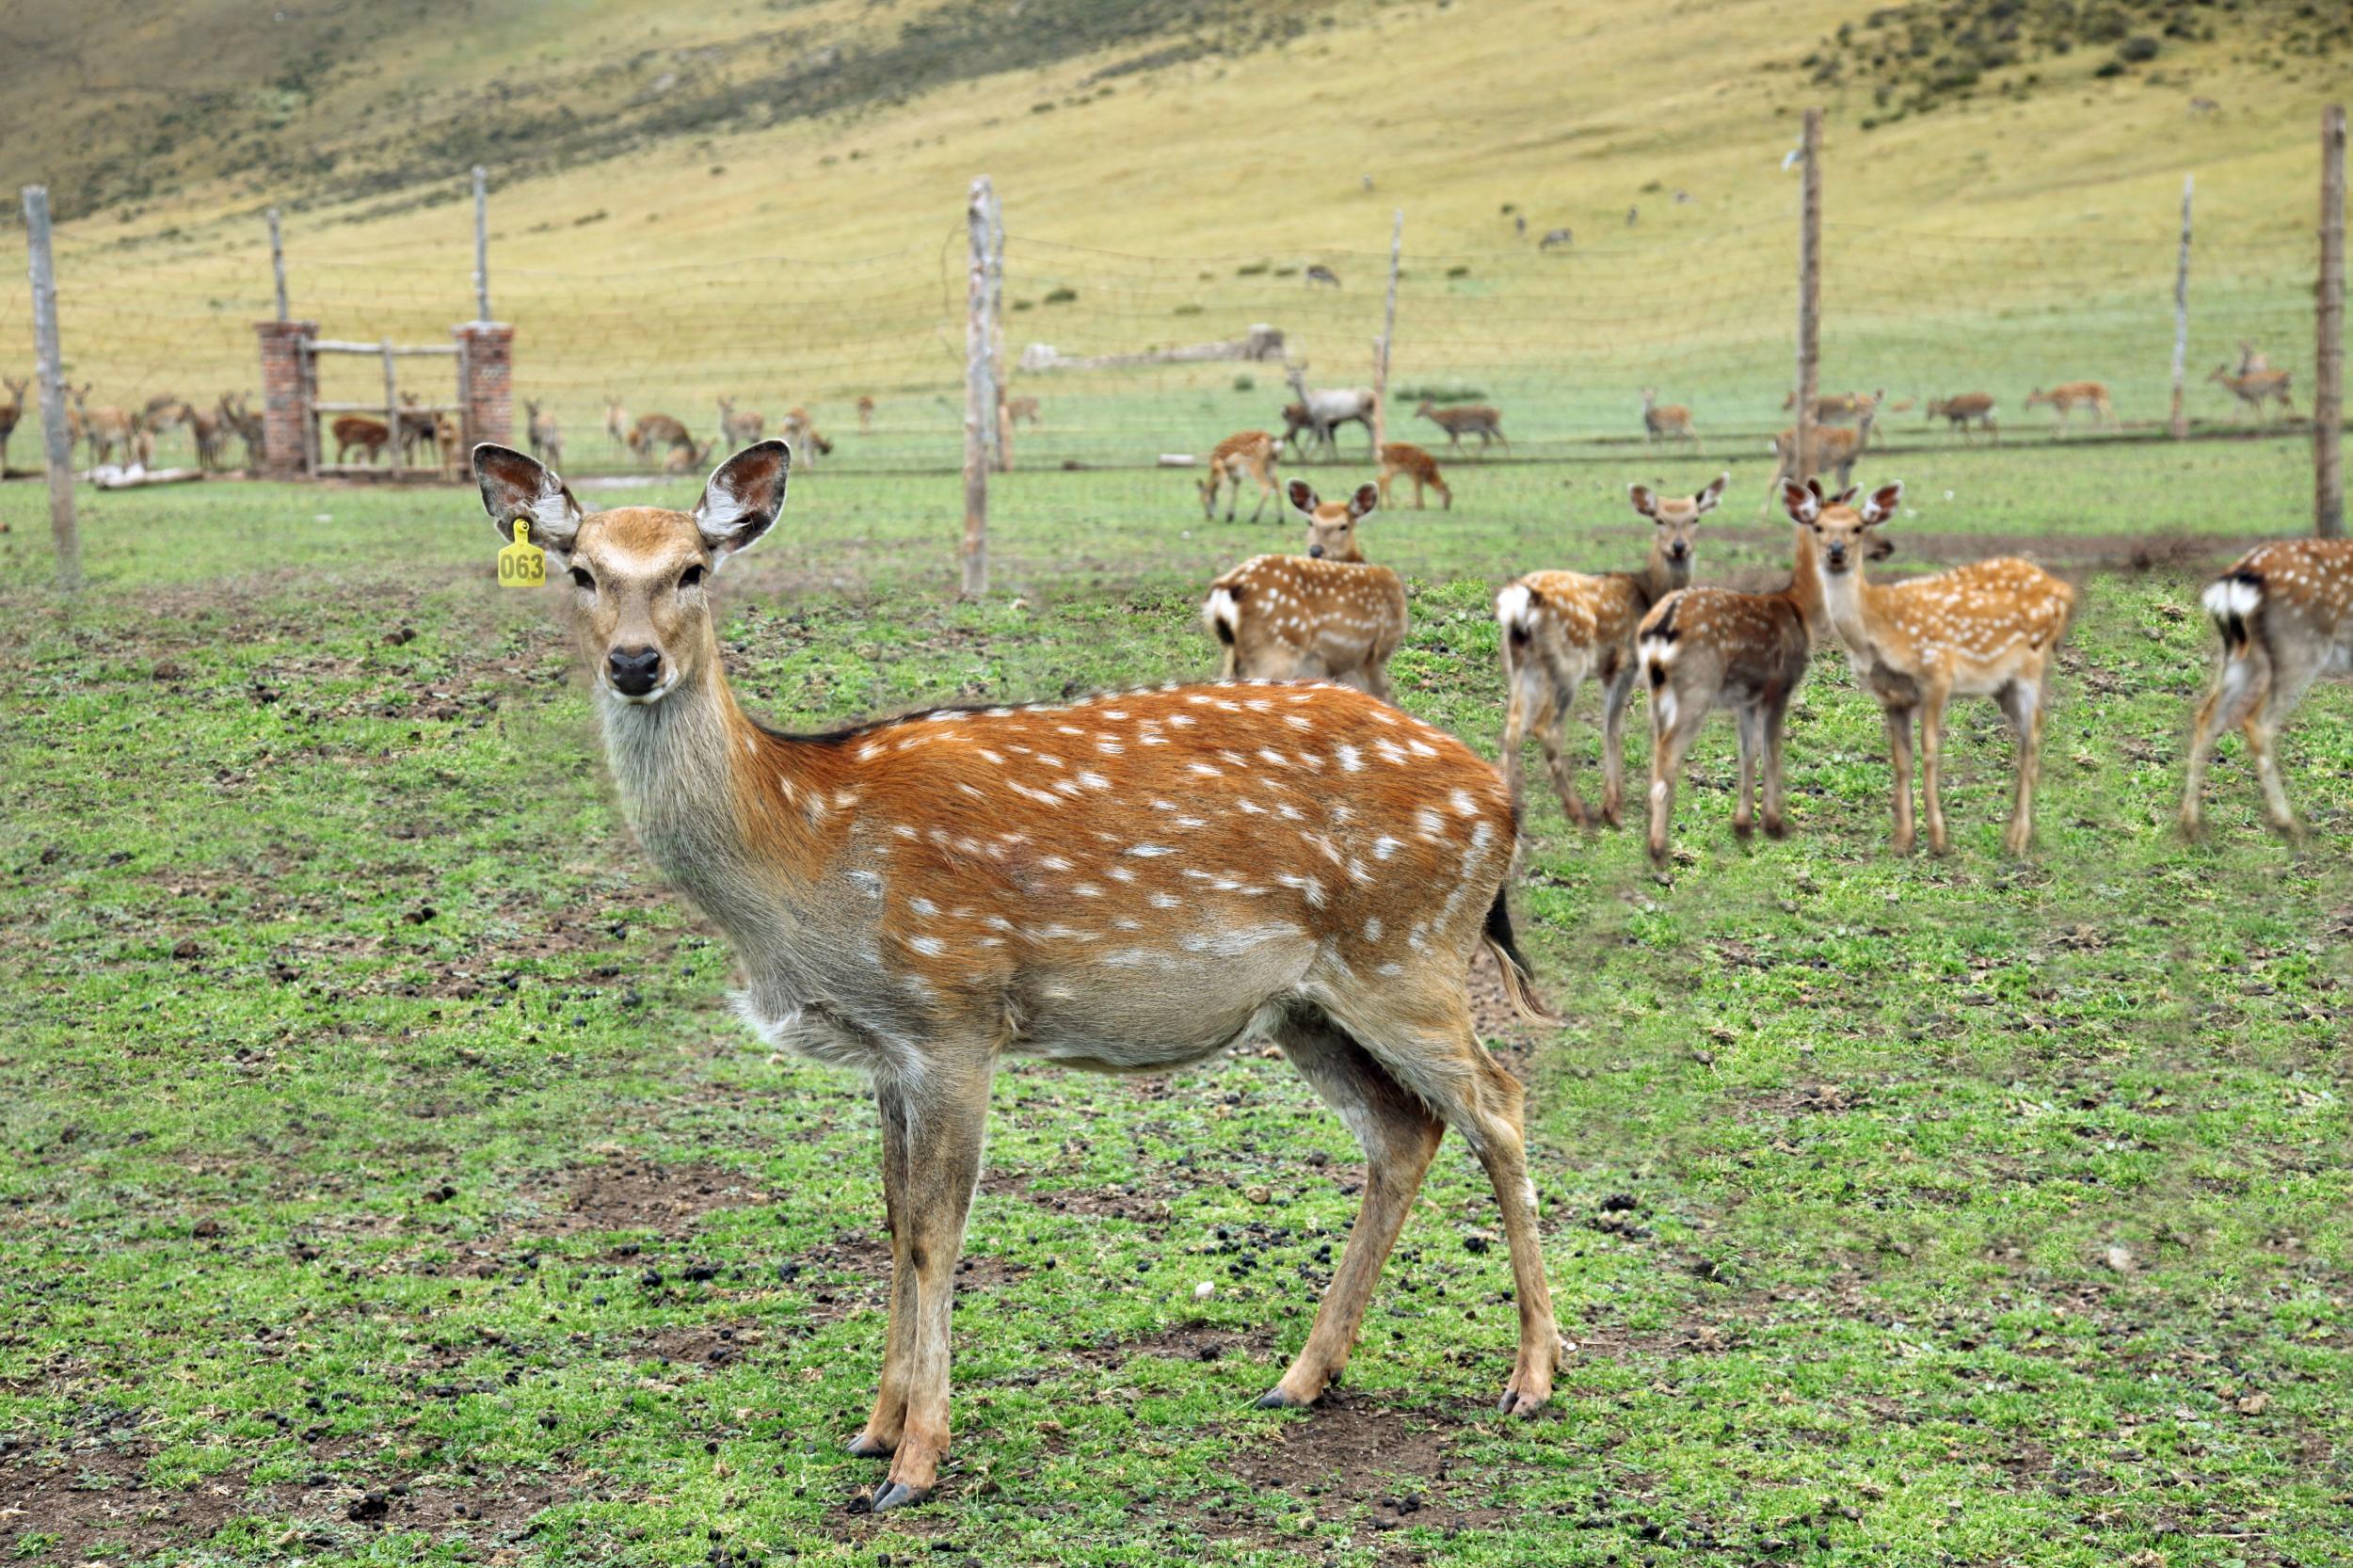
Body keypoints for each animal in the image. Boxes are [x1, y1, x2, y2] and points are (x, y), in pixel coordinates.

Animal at [1205, 475, 1402, 696]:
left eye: (1343, 526)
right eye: (1311, 522)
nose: (1315, 550)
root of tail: (1226, 590)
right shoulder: (1367, 655)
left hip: (1235, 652)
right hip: (1274, 651)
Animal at [1497, 466, 1741, 824]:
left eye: (1695, 518)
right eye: (1659, 519)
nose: (1679, 546)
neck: (1650, 592)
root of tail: (1520, 601)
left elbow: (1609, 727)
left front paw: (1612, 803)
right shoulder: (1625, 664)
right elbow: (1614, 728)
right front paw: (1613, 808)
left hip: (1520, 660)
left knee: (1513, 724)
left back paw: (1510, 800)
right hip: (1568, 662)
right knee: (1545, 726)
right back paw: (1577, 811)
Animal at [1779, 475, 2080, 856]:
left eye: (1858, 527)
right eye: (1818, 526)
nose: (1836, 550)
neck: (1875, 628)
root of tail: (2066, 590)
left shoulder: (1937, 673)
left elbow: (1930, 752)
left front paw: (1938, 840)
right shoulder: (1891, 695)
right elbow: (1900, 759)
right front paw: (1902, 840)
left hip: (2032, 667)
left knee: (2033, 737)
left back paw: (2016, 840)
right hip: (2003, 684)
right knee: (2030, 734)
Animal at [2174, 536, 2344, 838]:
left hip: (2241, 655)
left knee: (2207, 715)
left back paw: (2191, 823)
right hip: (2300, 649)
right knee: (2256, 720)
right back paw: (2289, 824)